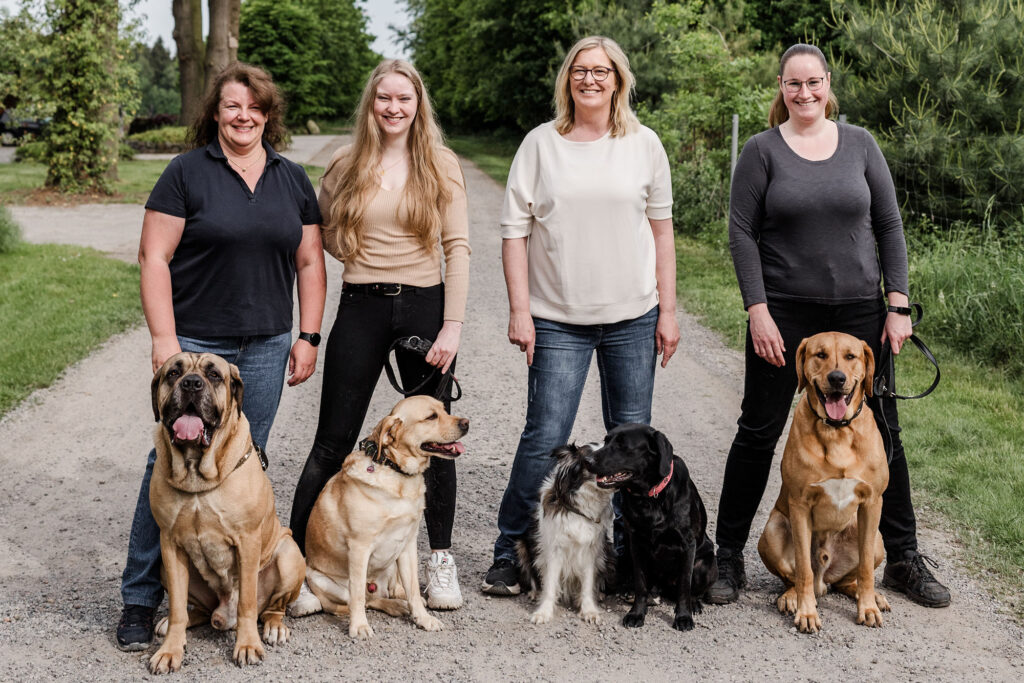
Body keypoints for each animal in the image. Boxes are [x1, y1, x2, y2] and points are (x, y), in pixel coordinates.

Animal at [146, 352, 303, 671]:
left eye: (214, 375)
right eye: (173, 373)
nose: (191, 384)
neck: (197, 472)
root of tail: (223, 615)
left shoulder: (248, 541)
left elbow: (247, 603)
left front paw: (247, 645)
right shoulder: (170, 543)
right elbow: (178, 605)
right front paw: (170, 649)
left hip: (289, 554)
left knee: (272, 607)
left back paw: (274, 627)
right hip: (165, 568)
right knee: (196, 612)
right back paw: (173, 624)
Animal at [589, 423, 716, 634]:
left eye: (623, 445)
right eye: (606, 441)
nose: (588, 460)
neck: (651, 497)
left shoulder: (688, 545)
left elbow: (684, 586)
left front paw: (683, 617)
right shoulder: (636, 543)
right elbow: (641, 584)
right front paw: (636, 613)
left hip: (706, 563)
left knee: (692, 589)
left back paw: (695, 604)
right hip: (625, 554)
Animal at [757, 331, 892, 634]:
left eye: (851, 356)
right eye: (820, 354)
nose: (837, 378)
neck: (837, 431)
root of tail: (825, 579)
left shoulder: (872, 503)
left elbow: (867, 569)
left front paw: (867, 607)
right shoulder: (799, 504)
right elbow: (803, 570)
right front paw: (807, 613)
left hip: (877, 539)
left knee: (846, 581)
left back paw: (871, 596)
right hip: (772, 529)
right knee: (795, 577)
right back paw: (791, 597)